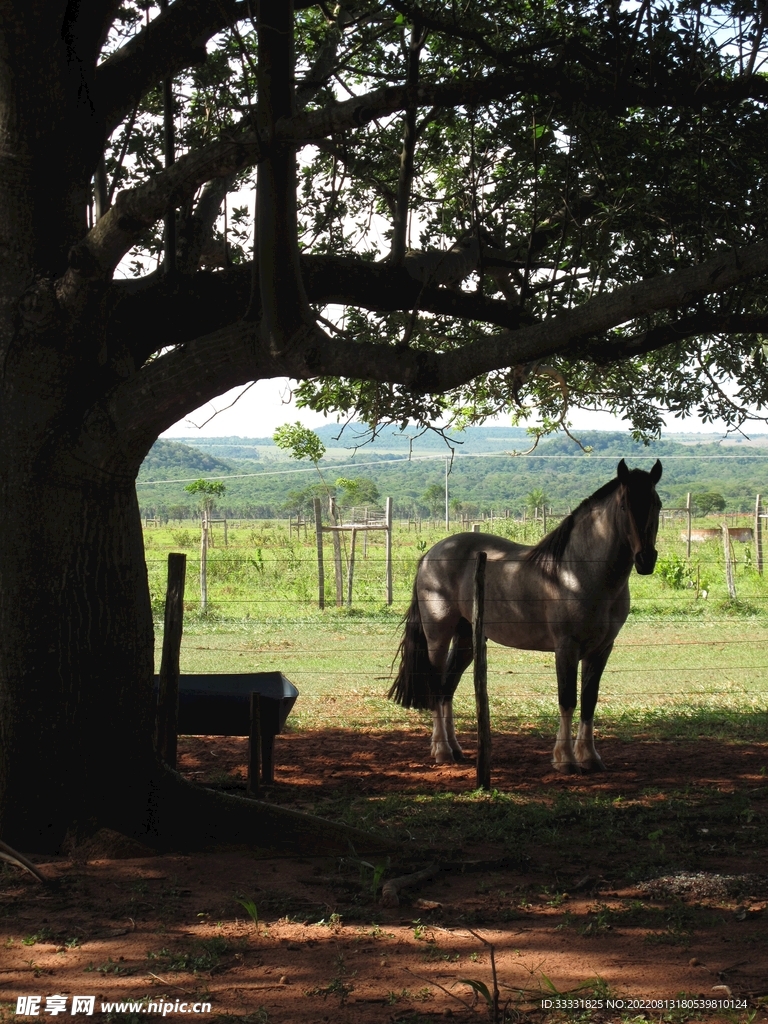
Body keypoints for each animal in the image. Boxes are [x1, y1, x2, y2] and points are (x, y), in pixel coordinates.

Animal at [389, 459, 662, 772]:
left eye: (657, 503)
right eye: (624, 505)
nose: (646, 560)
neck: (577, 572)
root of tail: (431, 554)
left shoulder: (602, 649)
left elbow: (589, 700)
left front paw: (590, 758)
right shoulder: (566, 648)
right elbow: (567, 699)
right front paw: (565, 760)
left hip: (466, 639)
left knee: (447, 688)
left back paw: (456, 749)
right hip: (438, 636)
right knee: (436, 686)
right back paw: (442, 751)